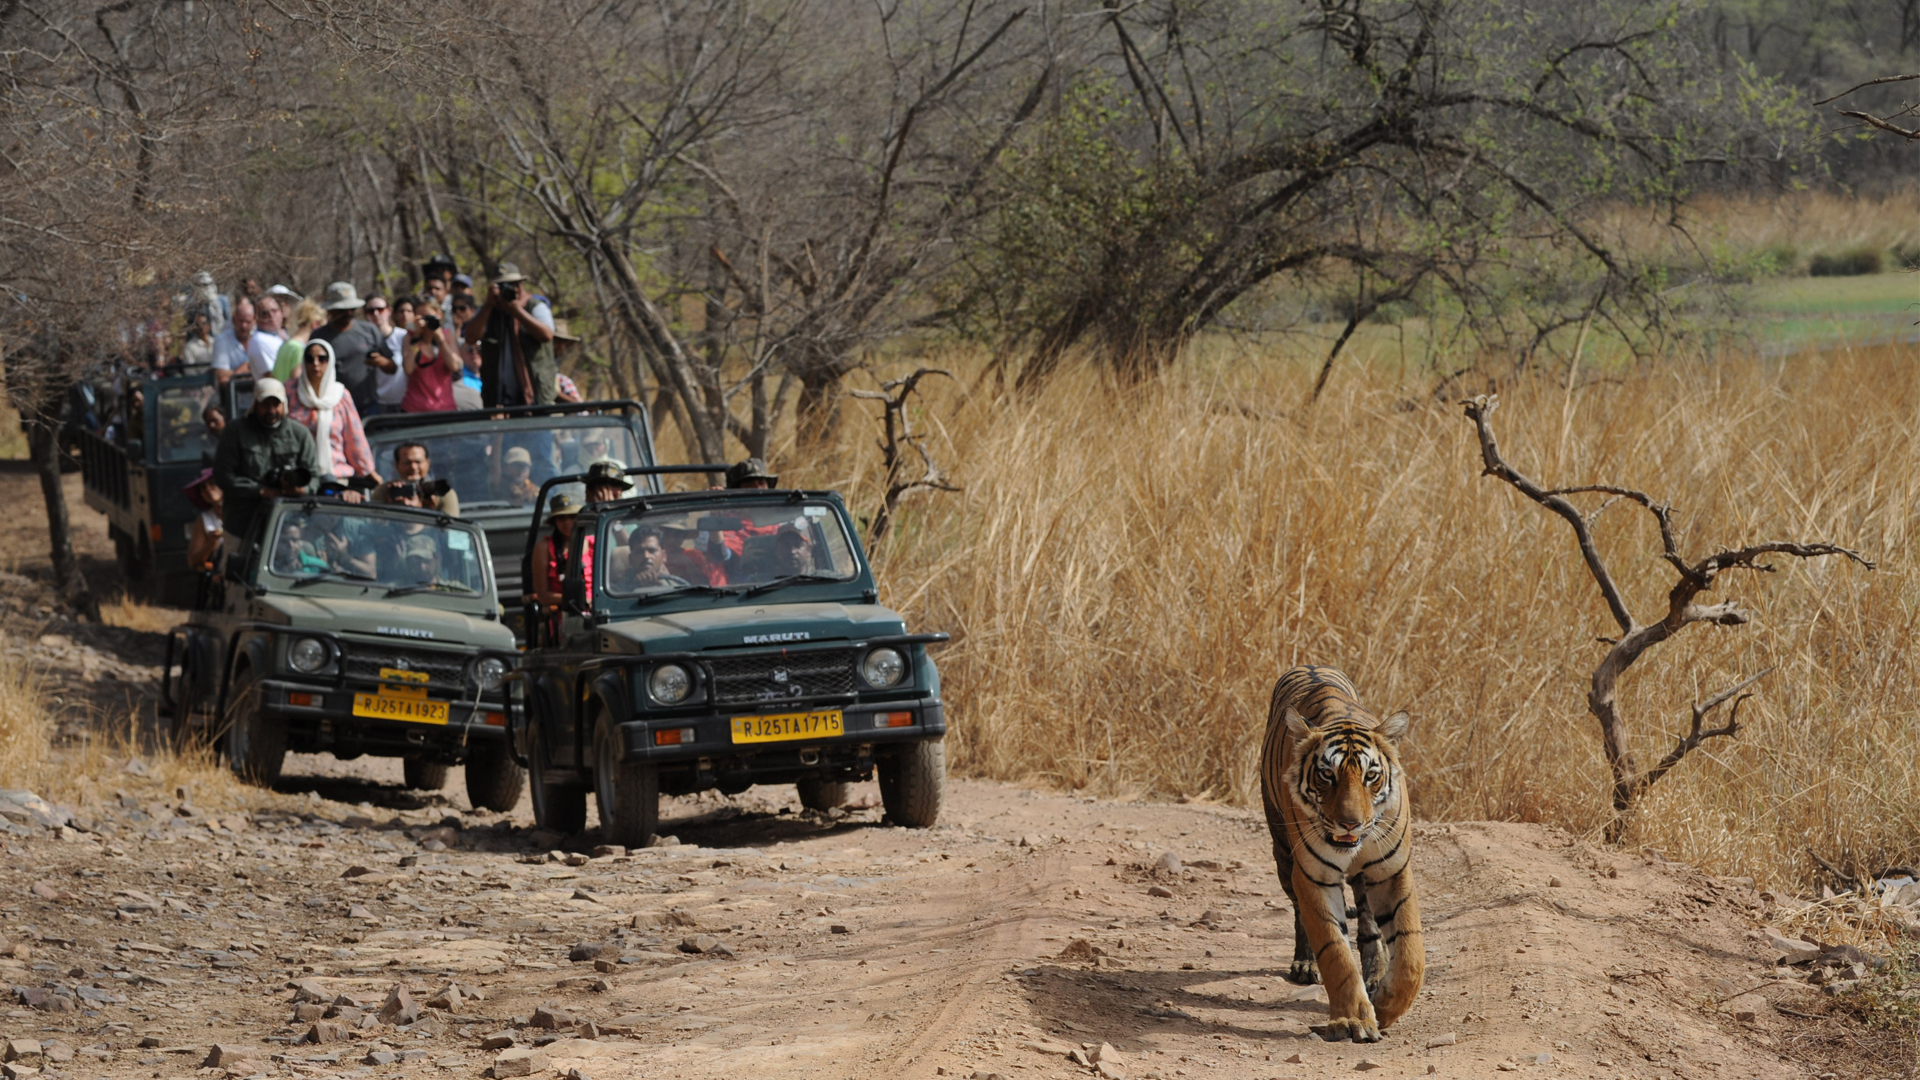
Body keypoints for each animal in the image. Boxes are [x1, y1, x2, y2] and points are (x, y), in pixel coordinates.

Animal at [1259, 661, 1428, 1037]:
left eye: (1371, 776)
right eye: (1326, 775)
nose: (1350, 824)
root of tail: (1311, 664)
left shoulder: (1392, 870)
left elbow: (1410, 953)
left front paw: (1386, 1006)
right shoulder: (1314, 876)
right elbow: (1334, 950)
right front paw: (1352, 1020)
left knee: (1368, 924)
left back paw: (1376, 973)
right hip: (1282, 853)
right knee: (1299, 913)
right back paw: (1305, 964)